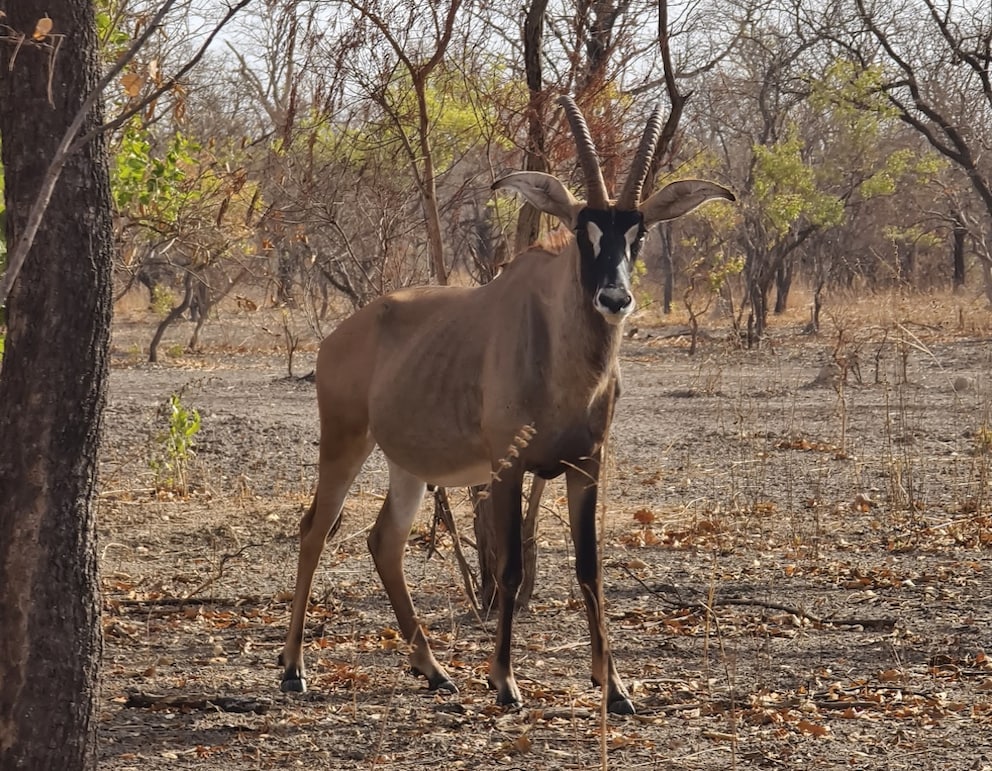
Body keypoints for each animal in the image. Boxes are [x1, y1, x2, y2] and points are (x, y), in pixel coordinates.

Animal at [278, 95, 734, 714]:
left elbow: (590, 569)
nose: (615, 297)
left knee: (384, 541)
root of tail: (342, 333)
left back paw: (433, 670)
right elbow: (511, 569)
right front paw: (504, 681)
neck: (564, 361)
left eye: (637, 233)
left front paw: (613, 687)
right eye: (583, 229)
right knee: (314, 530)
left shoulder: (586, 466)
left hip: (407, 464)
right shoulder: (509, 465)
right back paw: (294, 669)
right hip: (345, 440)